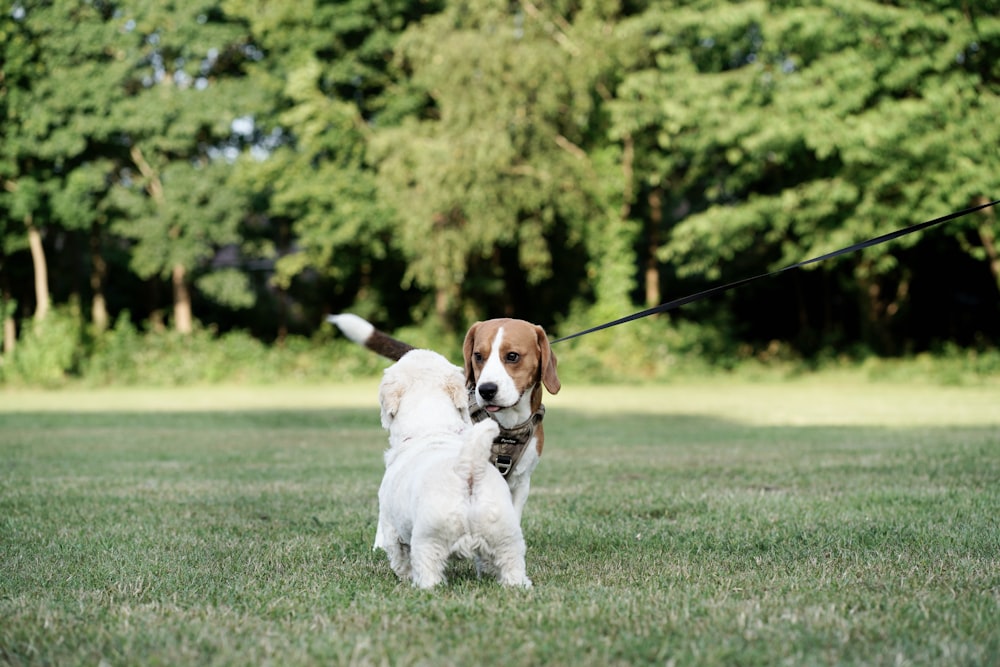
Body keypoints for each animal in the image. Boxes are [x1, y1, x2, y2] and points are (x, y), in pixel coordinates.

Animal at [376, 350, 532, 588]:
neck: (431, 427)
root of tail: (469, 468)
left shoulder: (391, 526)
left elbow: (399, 555)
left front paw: (404, 576)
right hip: (506, 535)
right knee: (512, 566)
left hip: (429, 539)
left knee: (428, 569)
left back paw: (424, 586)